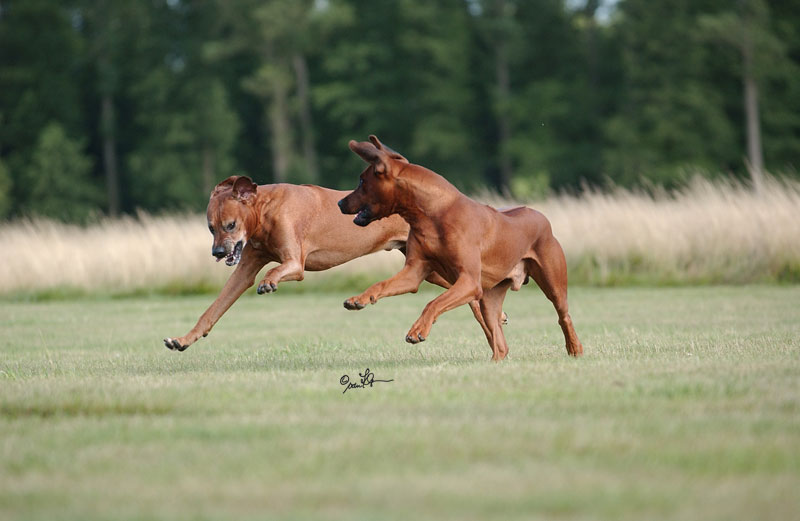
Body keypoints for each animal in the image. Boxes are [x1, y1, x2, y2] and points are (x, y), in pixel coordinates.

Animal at [163, 177, 412, 352]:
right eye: (211, 228)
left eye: (231, 225)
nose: (218, 253)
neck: (265, 211)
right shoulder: (244, 270)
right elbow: (213, 309)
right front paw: (182, 340)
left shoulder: (294, 263)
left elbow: (276, 268)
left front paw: (268, 282)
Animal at [338, 136, 580, 360]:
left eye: (361, 181)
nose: (340, 203)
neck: (432, 214)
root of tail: (540, 215)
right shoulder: (414, 272)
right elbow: (381, 284)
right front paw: (359, 299)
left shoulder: (469, 281)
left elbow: (433, 302)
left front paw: (418, 330)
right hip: (489, 298)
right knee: (500, 341)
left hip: (552, 283)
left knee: (563, 315)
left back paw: (575, 348)